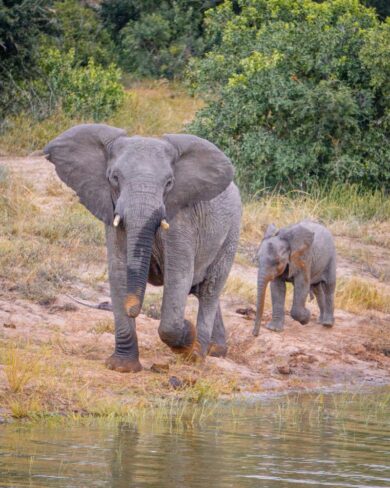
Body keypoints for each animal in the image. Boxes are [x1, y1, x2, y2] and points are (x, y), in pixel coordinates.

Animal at [44, 124, 242, 372]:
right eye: (114, 178)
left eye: (169, 183)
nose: (133, 308)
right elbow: (119, 271)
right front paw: (122, 367)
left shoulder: (183, 219)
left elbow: (178, 276)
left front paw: (186, 333)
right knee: (202, 289)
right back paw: (215, 350)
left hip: (231, 233)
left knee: (209, 289)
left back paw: (197, 356)